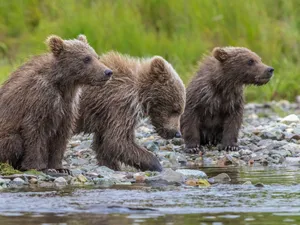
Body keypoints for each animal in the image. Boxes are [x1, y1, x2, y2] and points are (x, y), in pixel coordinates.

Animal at [0, 34, 112, 172]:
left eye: (97, 56)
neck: (64, 85)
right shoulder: (40, 99)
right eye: (86, 58)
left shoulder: (68, 107)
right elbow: (34, 132)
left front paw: (59, 167)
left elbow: (61, 136)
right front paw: (36, 166)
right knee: (13, 141)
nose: (108, 72)